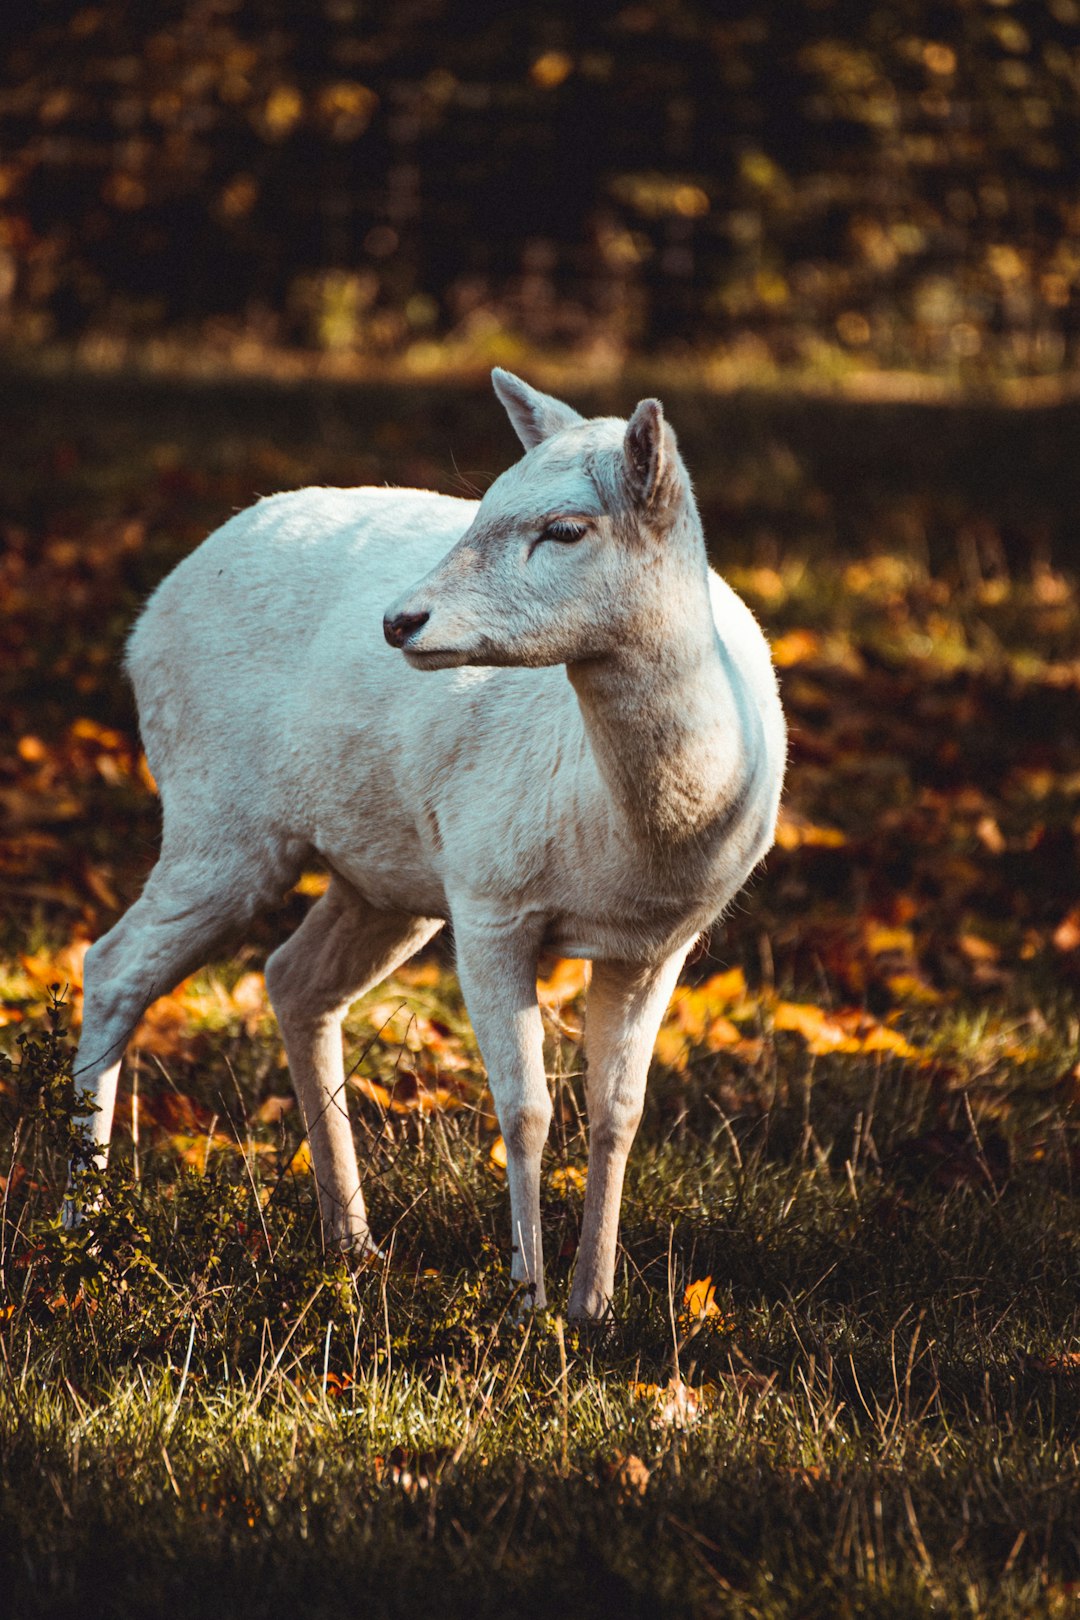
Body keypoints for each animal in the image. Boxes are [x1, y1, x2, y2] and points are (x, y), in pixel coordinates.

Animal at [74, 372, 786, 1321]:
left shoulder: (660, 944)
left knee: (293, 978)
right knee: (113, 964)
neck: (636, 838)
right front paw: (526, 1298)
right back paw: (81, 1231)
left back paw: (353, 1243)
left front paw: (593, 1305)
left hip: (389, 878)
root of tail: (147, 619)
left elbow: (619, 1112)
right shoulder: (491, 899)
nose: (400, 620)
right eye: (483, 502)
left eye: (565, 528)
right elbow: (526, 1108)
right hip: (217, 814)